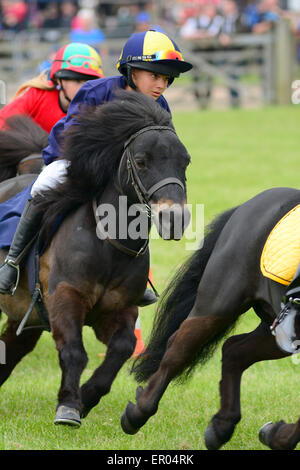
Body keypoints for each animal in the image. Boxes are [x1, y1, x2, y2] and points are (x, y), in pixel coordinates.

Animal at [0, 90, 191, 428]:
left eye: (185, 161)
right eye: (141, 161)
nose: (175, 219)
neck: (108, 243)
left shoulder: (119, 309)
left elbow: (123, 348)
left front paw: (87, 397)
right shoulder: (65, 297)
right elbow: (74, 352)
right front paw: (68, 406)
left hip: (25, 315)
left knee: (10, 349)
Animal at [121, 185, 300, 450]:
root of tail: (253, 203)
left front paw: (277, 434)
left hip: (277, 329)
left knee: (234, 350)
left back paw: (224, 426)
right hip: (217, 304)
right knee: (177, 350)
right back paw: (137, 414)